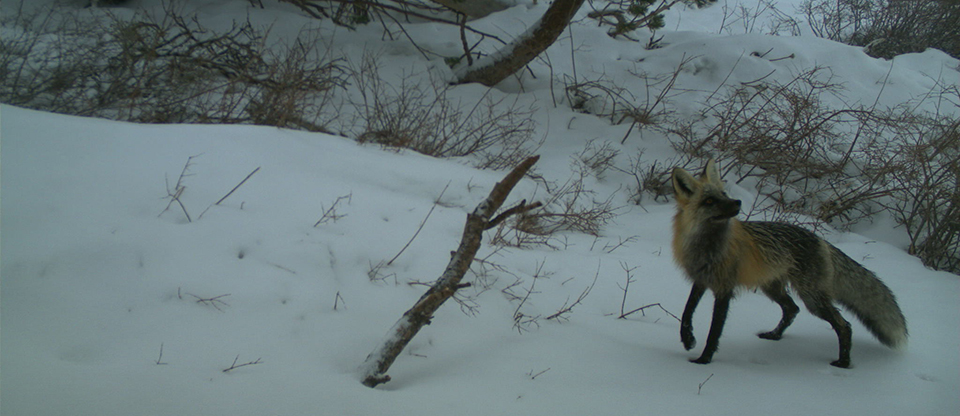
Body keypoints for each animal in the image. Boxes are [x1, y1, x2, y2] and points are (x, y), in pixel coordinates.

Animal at [672, 159, 904, 368]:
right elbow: (686, 312)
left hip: (812, 298)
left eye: (724, 194)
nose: (737, 202)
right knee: (792, 309)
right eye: (709, 201)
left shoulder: (724, 289)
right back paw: (775, 335)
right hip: (773, 288)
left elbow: (714, 331)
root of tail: (821, 240)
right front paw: (687, 339)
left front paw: (703, 360)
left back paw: (844, 362)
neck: (707, 249)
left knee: (843, 324)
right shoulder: (701, 280)